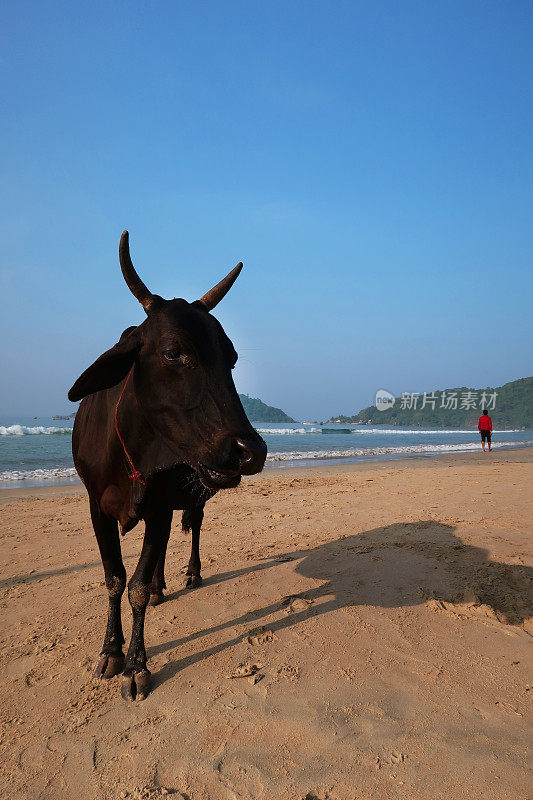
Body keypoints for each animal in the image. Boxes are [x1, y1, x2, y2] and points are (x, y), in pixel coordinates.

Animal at [68, 233, 266, 700]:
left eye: (231, 358)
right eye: (174, 352)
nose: (250, 450)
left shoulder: (159, 503)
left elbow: (136, 587)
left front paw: (136, 666)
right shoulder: (96, 507)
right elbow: (115, 578)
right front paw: (111, 651)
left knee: (193, 528)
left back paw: (190, 573)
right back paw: (162, 586)